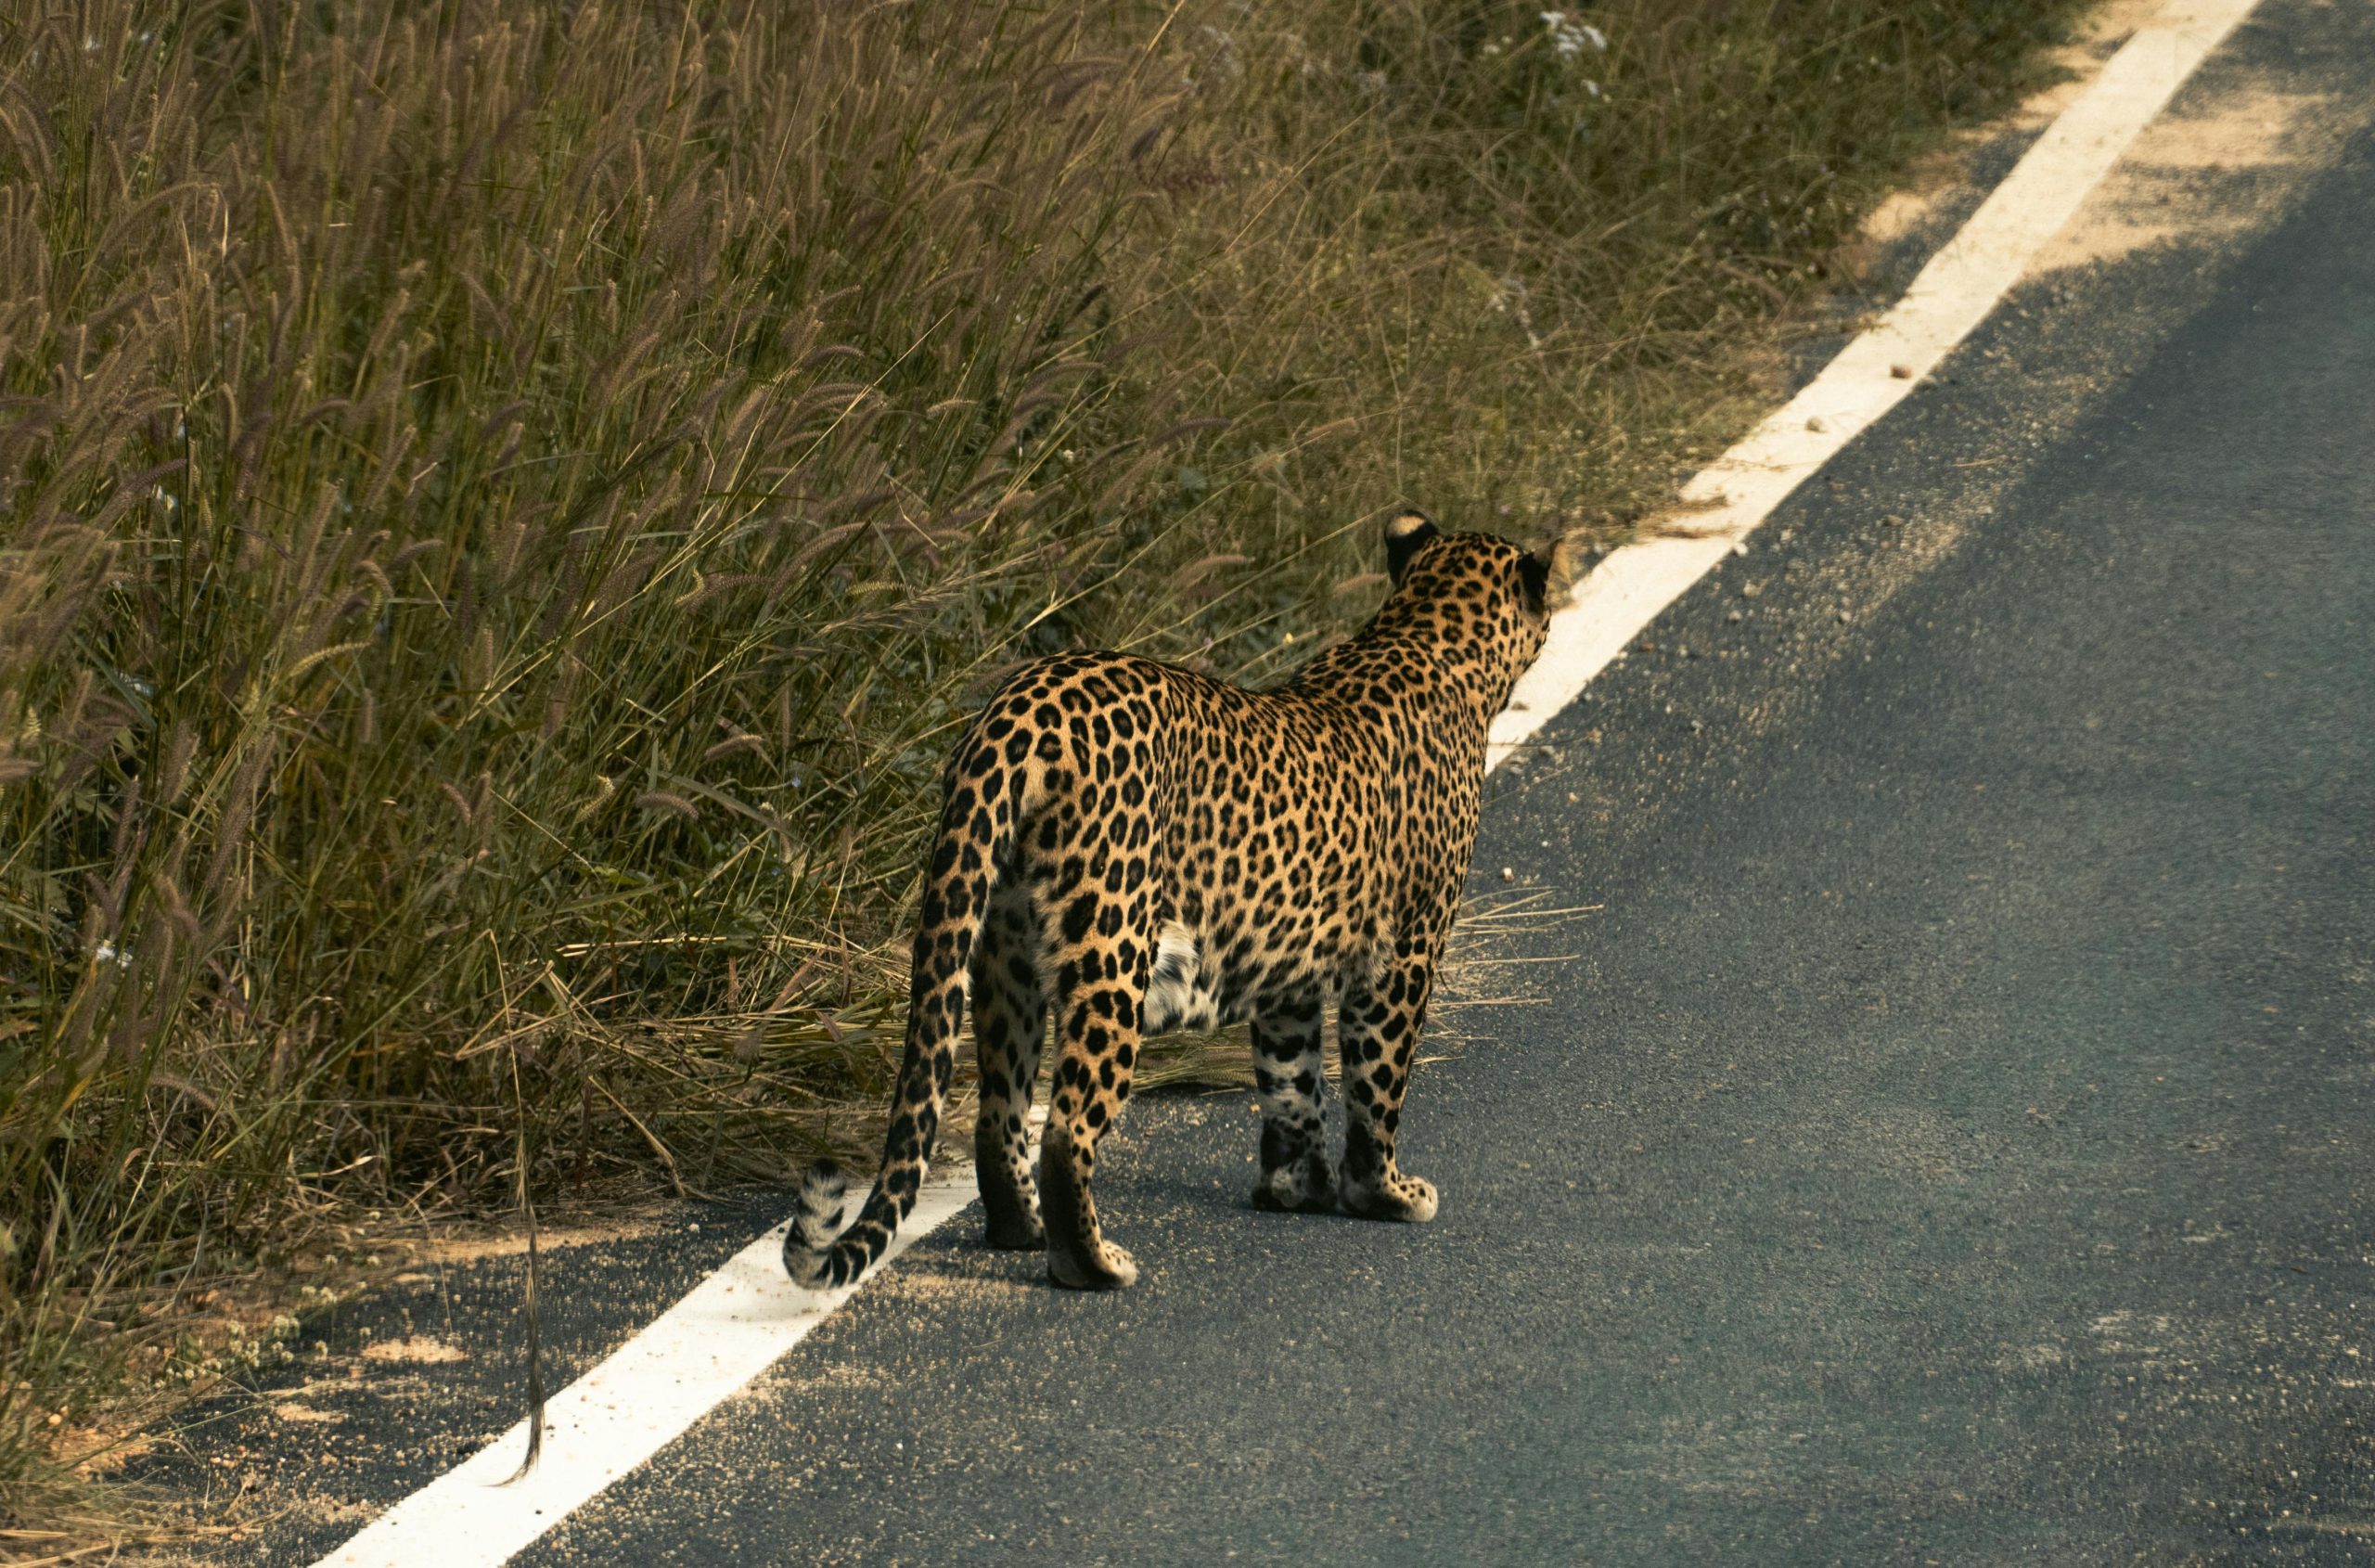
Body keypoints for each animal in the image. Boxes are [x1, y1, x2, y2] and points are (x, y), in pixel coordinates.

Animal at [785, 510, 1560, 1291]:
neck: (1425, 633)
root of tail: (1017, 716)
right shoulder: (1406, 952)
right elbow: (1377, 1083)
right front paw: (1385, 1193)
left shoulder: (1289, 965)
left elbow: (1291, 1080)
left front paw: (1293, 1187)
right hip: (1112, 945)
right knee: (1066, 1127)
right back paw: (1094, 1264)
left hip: (1002, 951)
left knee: (999, 1106)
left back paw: (1020, 1231)